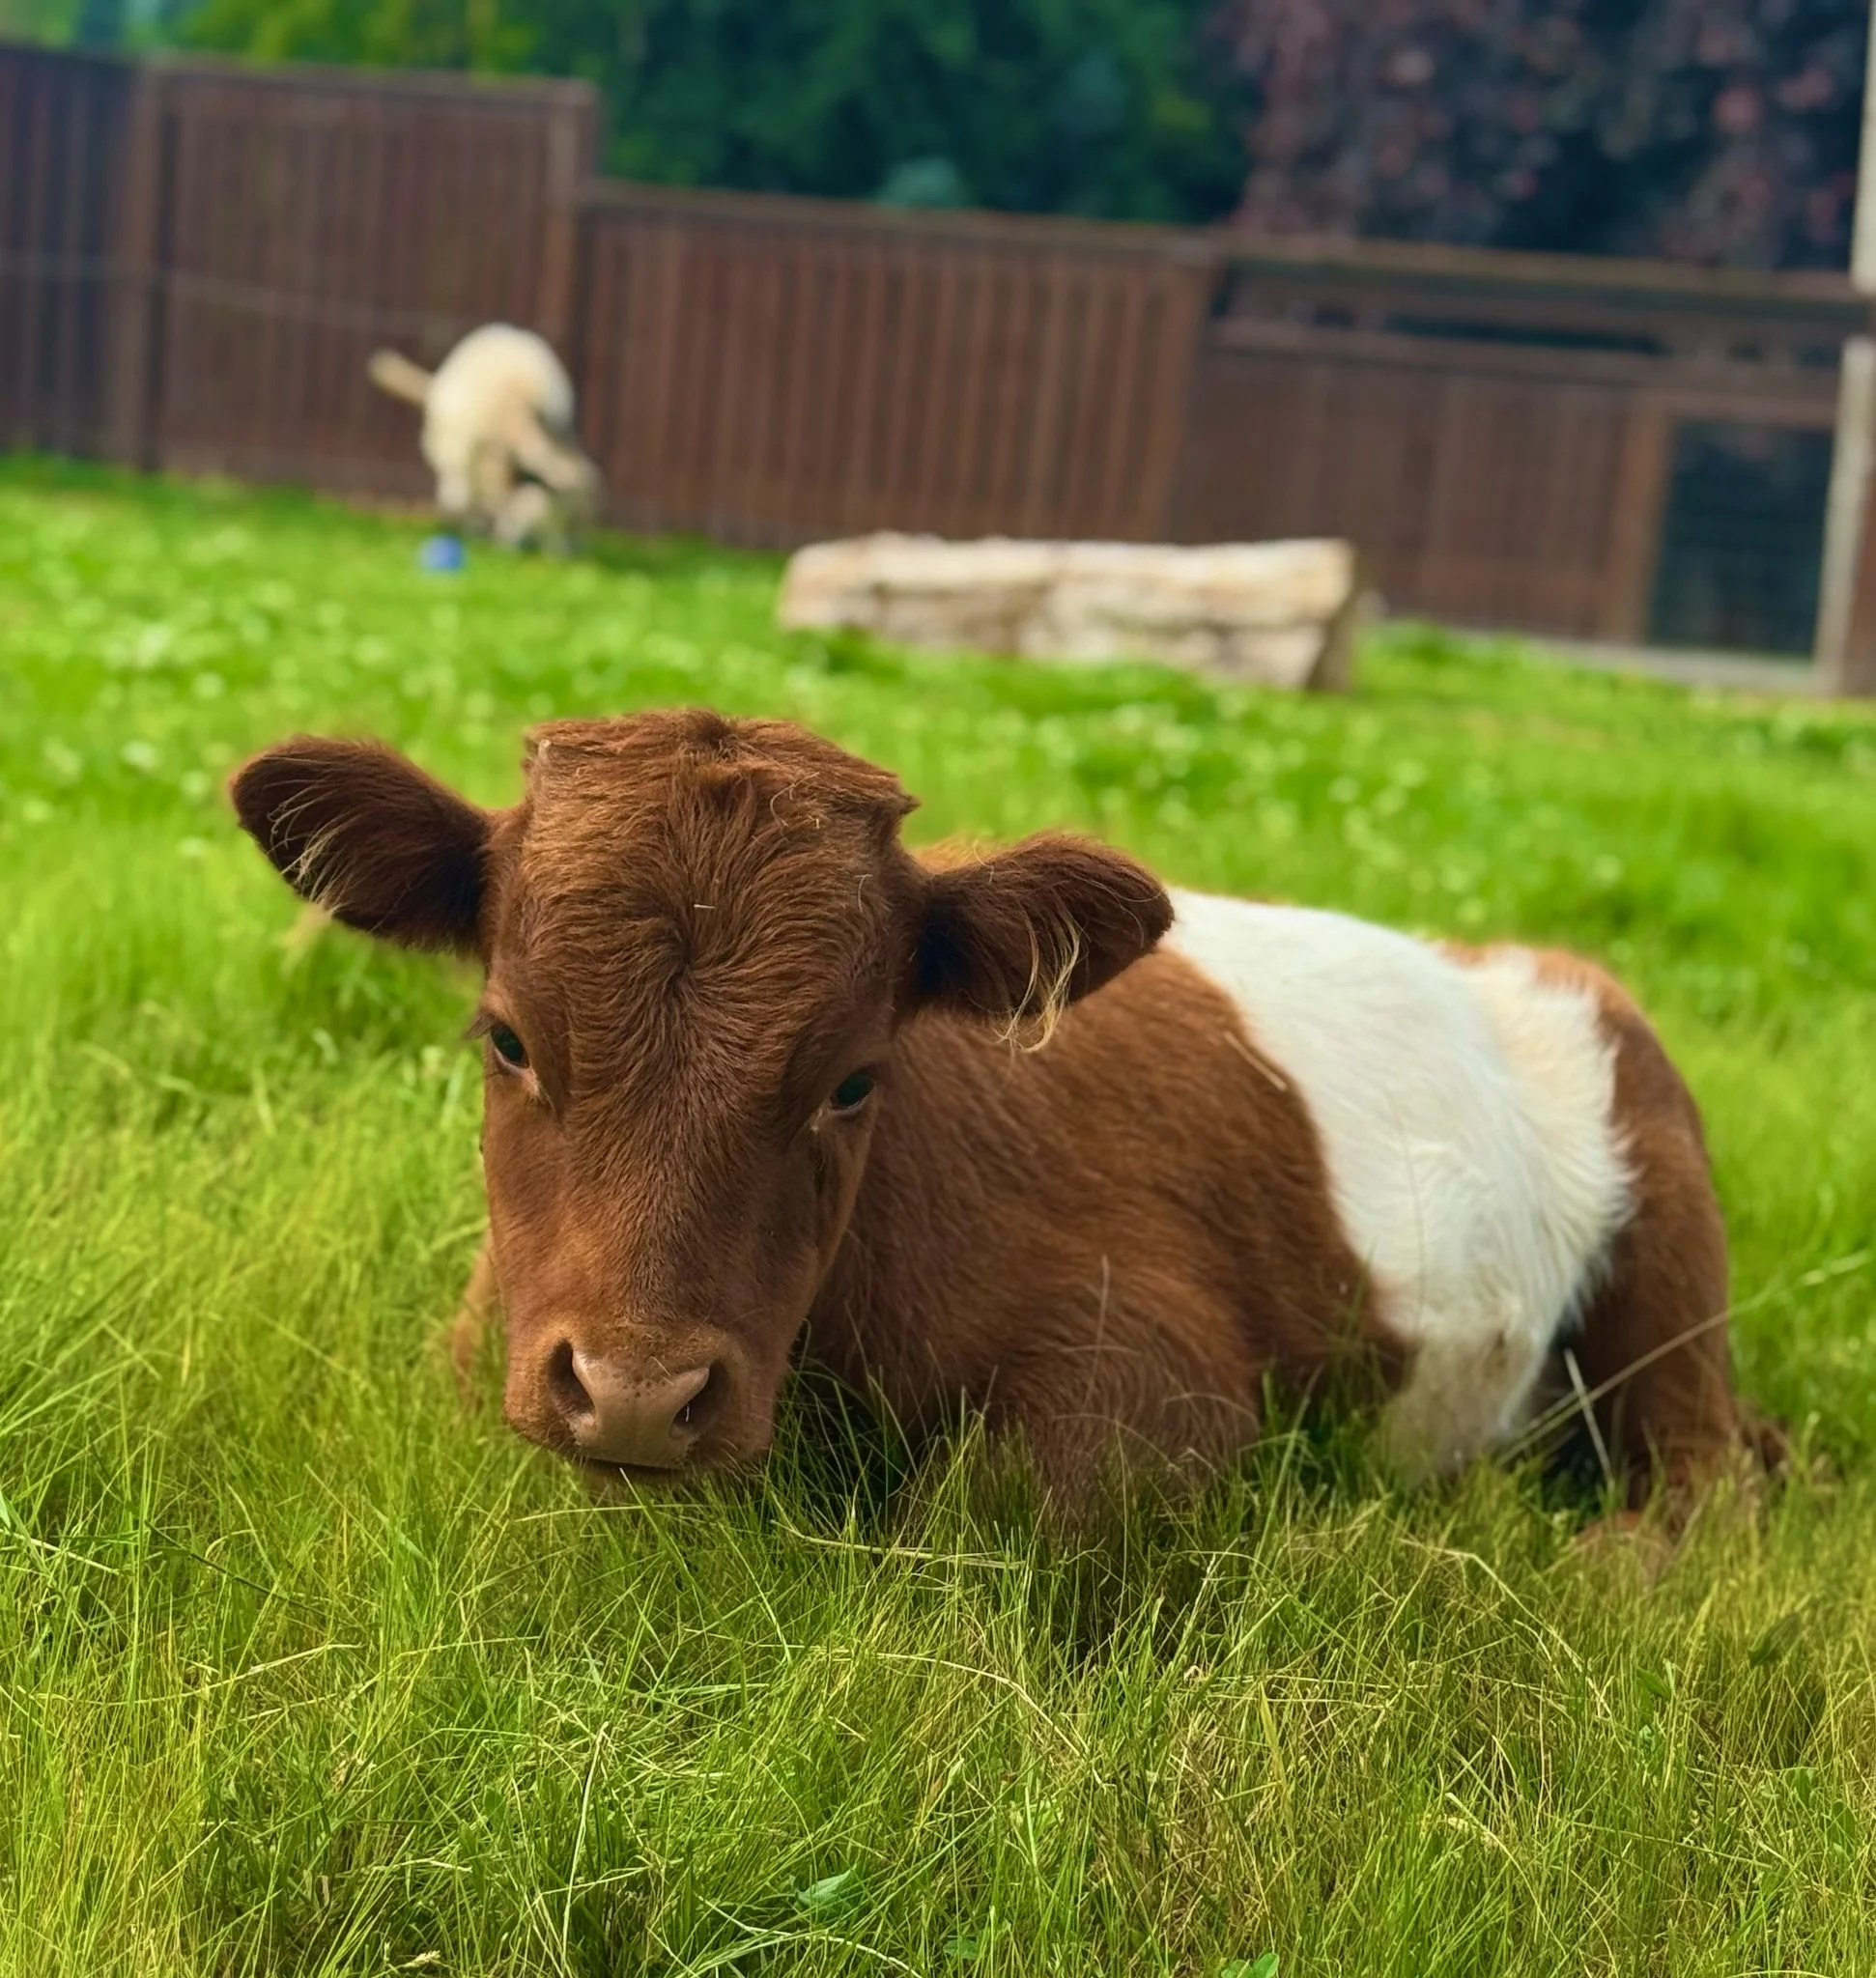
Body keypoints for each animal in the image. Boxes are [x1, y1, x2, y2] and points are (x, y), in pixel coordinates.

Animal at [230, 708, 1768, 1512]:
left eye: (854, 1077)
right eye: (506, 1038)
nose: (636, 1393)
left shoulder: (1156, 1368)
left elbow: (995, 1505)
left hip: (1668, 1250)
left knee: (1707, 1471)